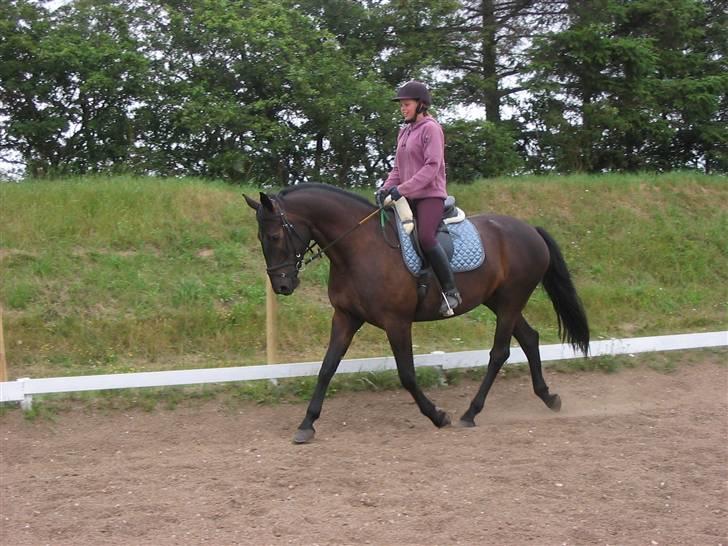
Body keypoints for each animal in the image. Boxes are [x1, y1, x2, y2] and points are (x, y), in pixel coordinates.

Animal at [246, 183, 592, 442]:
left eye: (274, 236)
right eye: (261, 238)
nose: (282, 285)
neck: (359, 247)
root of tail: (529, 229)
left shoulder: (396, 322)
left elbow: (407, 375)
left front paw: (438, 415)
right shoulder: (345, 317)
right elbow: (327, 368)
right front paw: (307, 424)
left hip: (510, 301)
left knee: (499, 353)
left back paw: (470, 413)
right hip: (499, 301)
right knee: (530, 339)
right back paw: (549, 398)